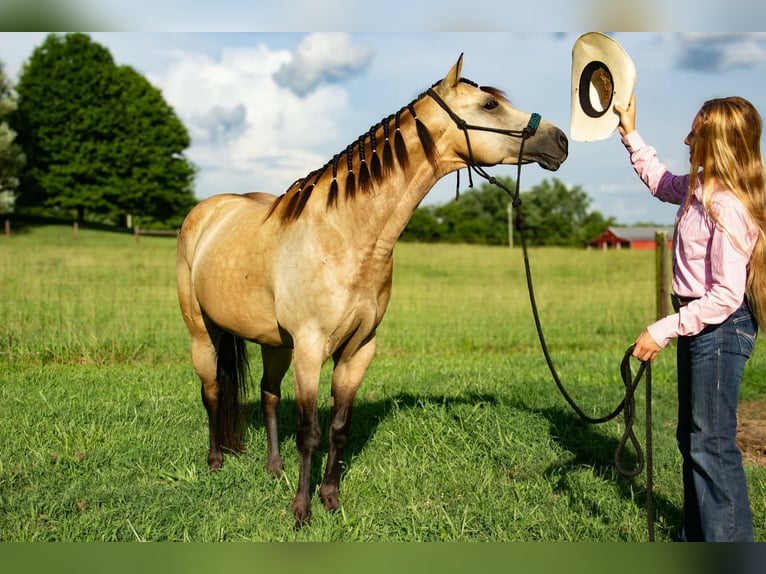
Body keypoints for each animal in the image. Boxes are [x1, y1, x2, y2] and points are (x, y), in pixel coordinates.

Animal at [176, 54, 568, 526]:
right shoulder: (311, 349)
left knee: (269, 395)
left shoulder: (358, 350)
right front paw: (301, 511)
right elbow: (308, 432)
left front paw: (330, 498)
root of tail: (208, 210)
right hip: (204, 334)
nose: (561, 140)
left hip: (275, 344)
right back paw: (215, 462)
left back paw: (273, 468)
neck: (346, 234)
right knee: (213, 392)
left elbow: (338, 428)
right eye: (490, 104)